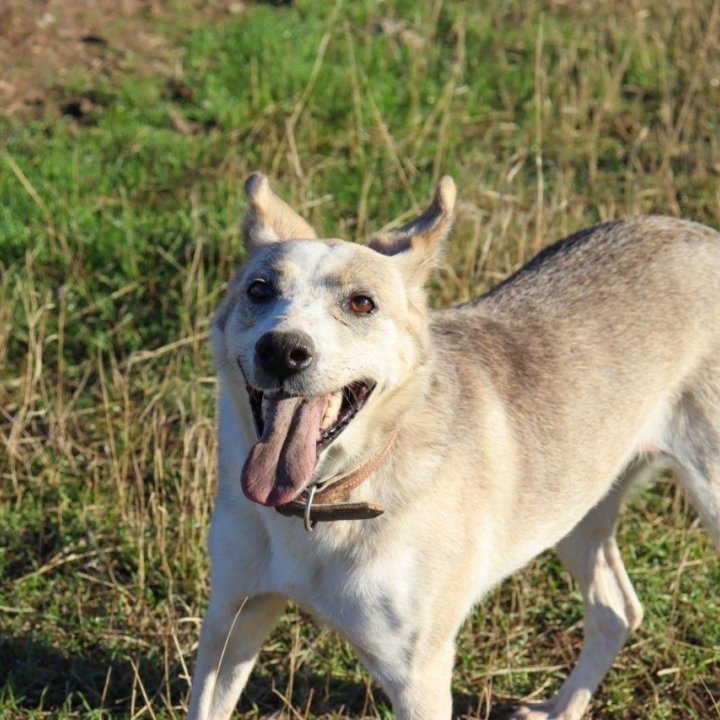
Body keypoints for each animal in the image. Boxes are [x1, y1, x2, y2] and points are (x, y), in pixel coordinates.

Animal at [188, 174, 720, 720]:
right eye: (259, 289)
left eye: (362, 303)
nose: (282, 351)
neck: (324, 499)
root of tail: (702, 234)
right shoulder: (231, 619)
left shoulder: (417, 674)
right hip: (577, 506)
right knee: (615, 611)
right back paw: (562, 708)